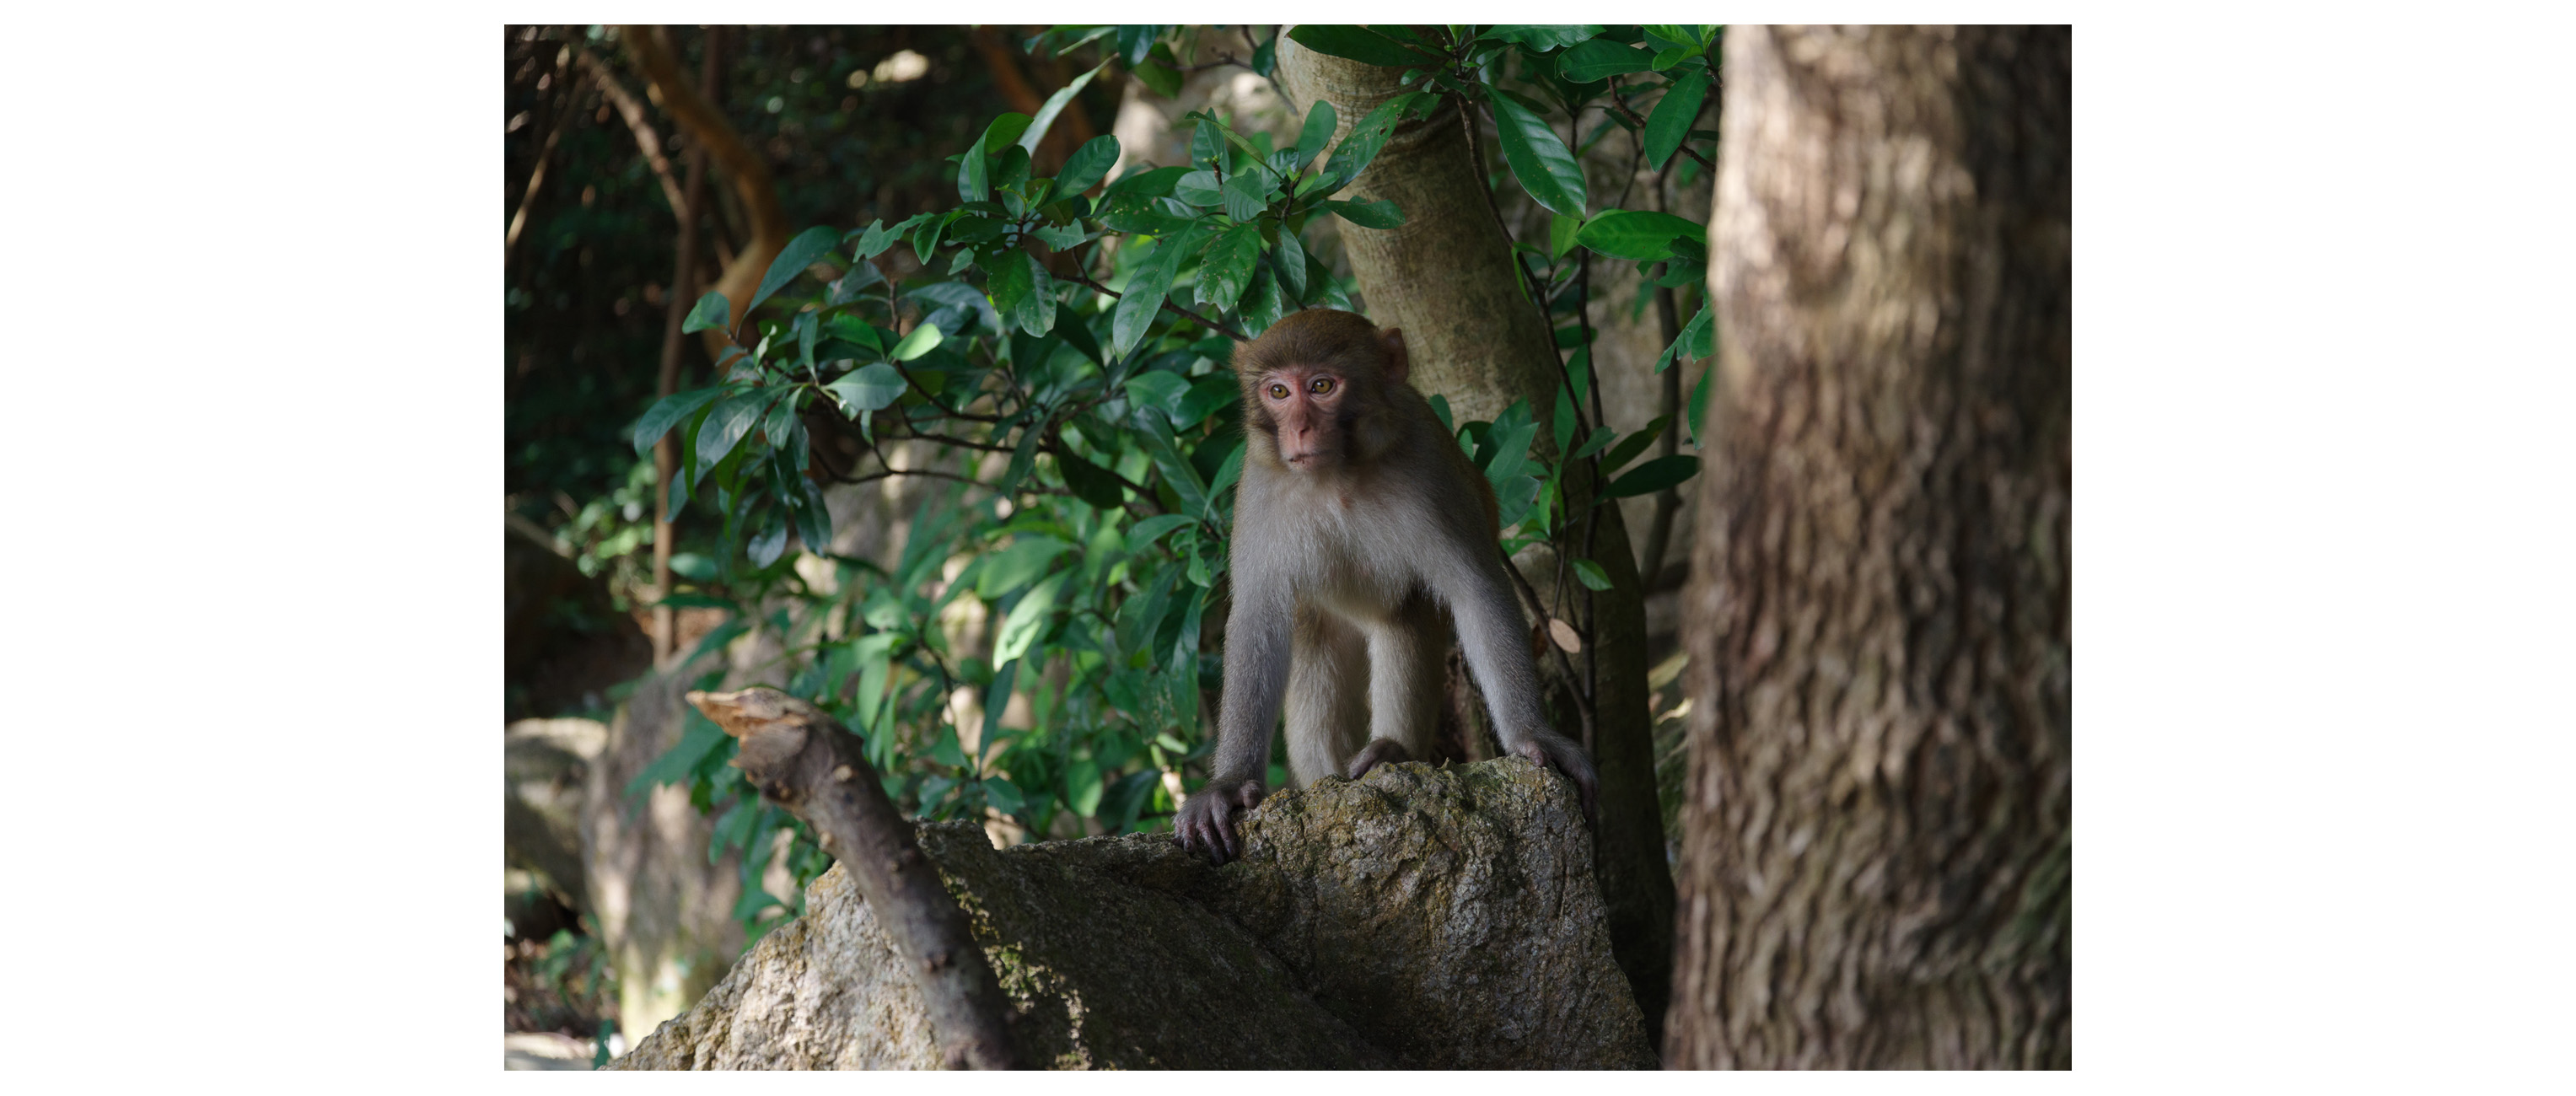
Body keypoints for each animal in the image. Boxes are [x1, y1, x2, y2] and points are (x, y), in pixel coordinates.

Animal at [1174, 309, 1598, 865]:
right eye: (1278, 393)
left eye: (1322, 386)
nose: (1299, 428)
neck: (1337, 475)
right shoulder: (1260, 492)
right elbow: (1256, 621)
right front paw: (1229, 783)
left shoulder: (1429, 473)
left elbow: (1477, 591)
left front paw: (1533, 736)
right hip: (1322, 623)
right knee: (1314, 670)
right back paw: (1332, 775)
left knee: (1405, 622)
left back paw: (1391, 751)